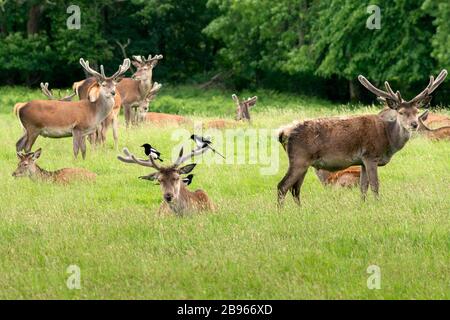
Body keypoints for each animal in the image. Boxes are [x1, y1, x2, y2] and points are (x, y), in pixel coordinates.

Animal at [278, 69, 446, 206]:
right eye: (401, 112)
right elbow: (375, 185)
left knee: (295, 189)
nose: (414, 124)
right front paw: (378, 205)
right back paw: (281, 213)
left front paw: (363, 205)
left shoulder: (362, 161)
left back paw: (300, 210)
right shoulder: (371, 155)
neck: (388, 141)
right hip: (299, 159)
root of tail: (283, 133)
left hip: (304, 163)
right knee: (283, 186)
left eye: (417, 111)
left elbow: (363, 187)